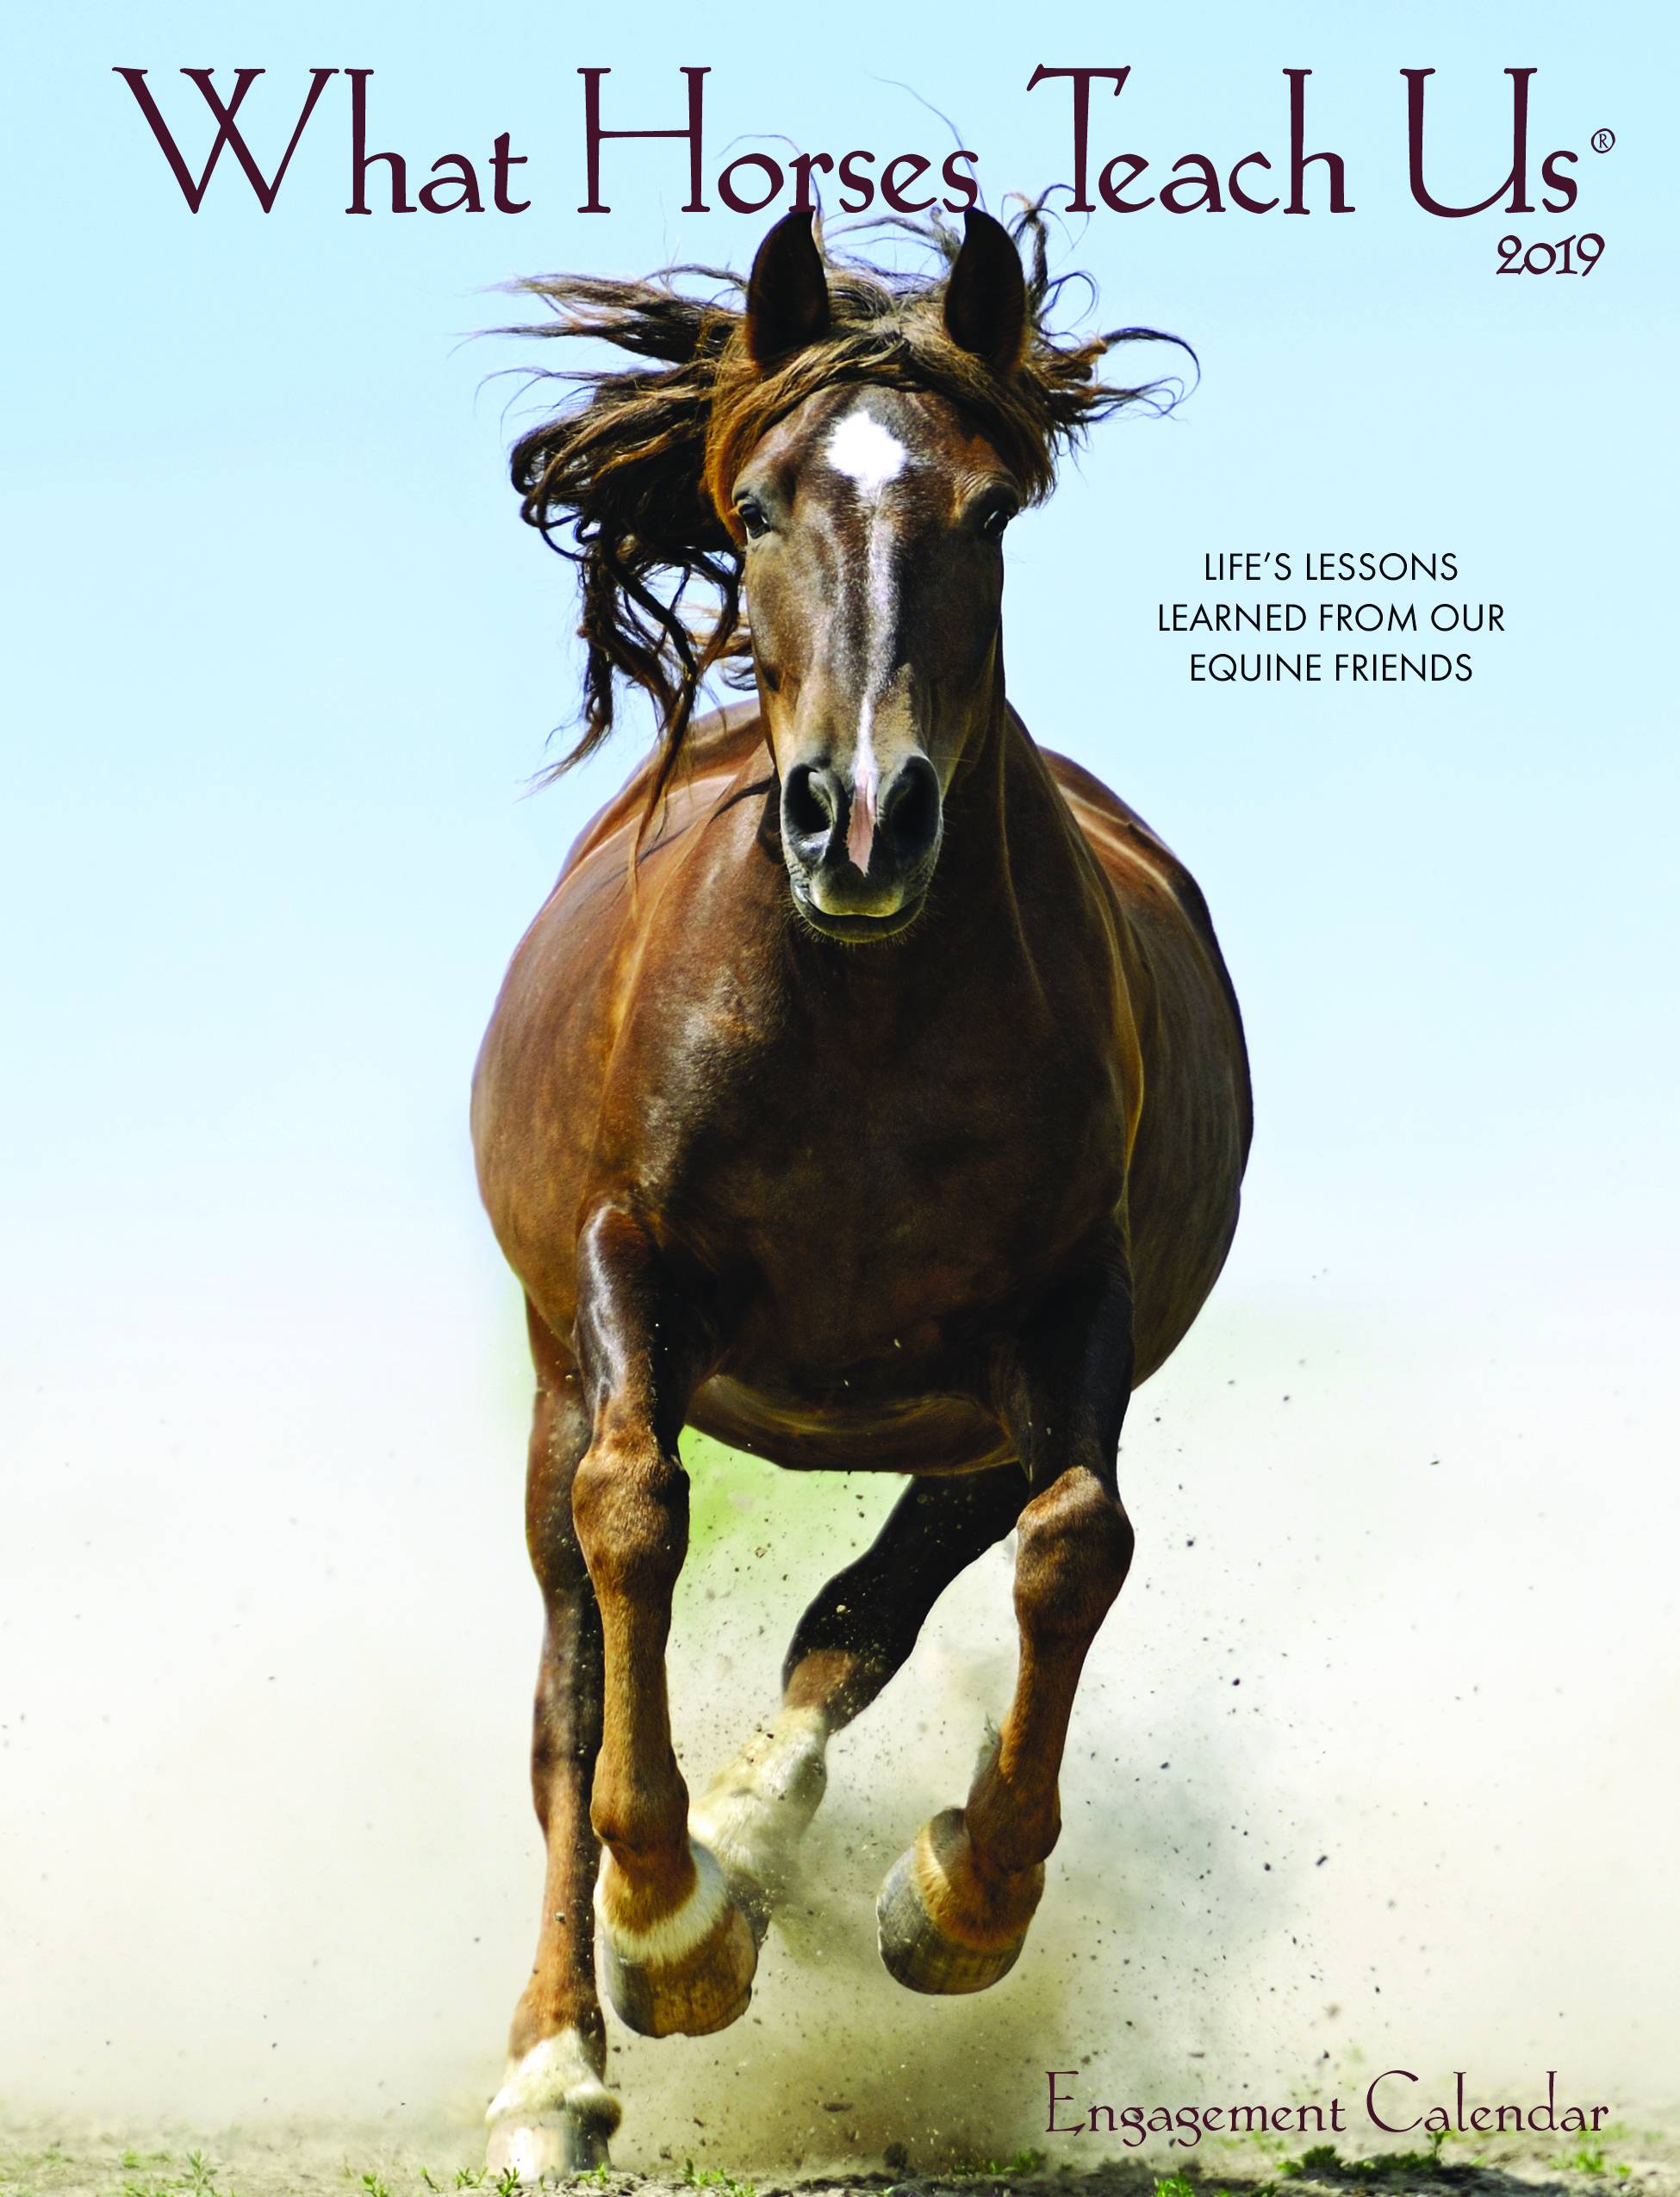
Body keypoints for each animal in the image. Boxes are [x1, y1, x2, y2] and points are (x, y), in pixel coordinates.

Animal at [471, 206, 1252, 2178]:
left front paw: (956, 1902)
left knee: (872, 1605)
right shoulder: (625, 1272)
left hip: (961, 1411)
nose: (864, 821)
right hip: (555, 1370)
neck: (862, 1022)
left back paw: (762, 1835)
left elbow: (1075, 1545)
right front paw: (667, 1934)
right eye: (752, 507)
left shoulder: (1071, 1316)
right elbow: (634, 1528)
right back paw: (560, 2057)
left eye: (990, 509)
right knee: (568, 1684)